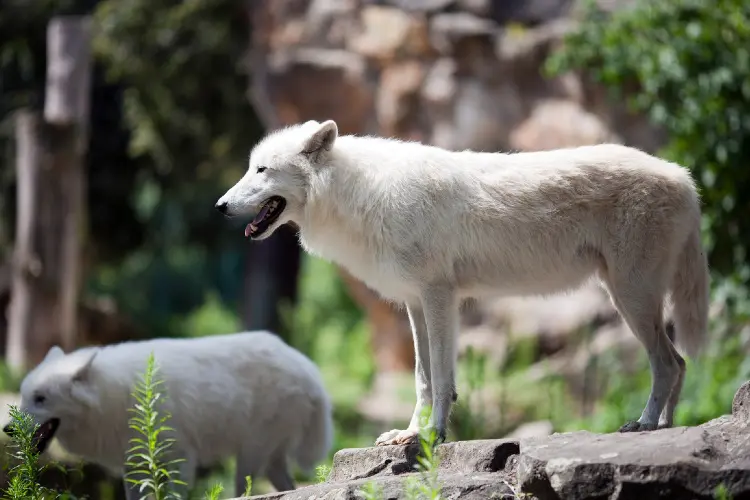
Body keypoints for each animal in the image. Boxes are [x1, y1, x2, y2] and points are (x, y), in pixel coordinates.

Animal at [5, 331, 333, 498]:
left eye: (41, 399)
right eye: (24, 395)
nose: (8, 430)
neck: (118, 396)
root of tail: (310, 369)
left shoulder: (181, 461)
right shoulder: (134, 468)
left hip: (249, 459)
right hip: (267, 461)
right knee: (288, 487)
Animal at [215, 119, 709, 446]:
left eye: (261, 171)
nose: (219, 206)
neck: (361, 195)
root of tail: (684, 177)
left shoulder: (440, 296)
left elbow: (440, 377)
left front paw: (433, 435)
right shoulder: (414, 302)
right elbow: (423, 378)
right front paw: (408, 435)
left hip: (631, 297)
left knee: (667, 363)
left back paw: (643, 425)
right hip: (629, 296)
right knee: (681, 362)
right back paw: (666, 427)